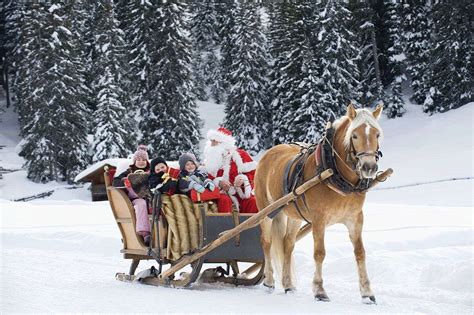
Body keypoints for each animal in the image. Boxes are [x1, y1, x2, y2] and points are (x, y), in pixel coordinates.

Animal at [256, 105, 386, 304]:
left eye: (377, 134)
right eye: (354, 135)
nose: (369, 167)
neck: (333, 171)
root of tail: (268, 153)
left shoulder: (355, 219)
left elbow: (360, 253)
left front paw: (367, 292)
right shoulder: (319, 220)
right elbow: (320, 253)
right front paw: (319, 290)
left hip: (294, 215)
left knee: (288, 244)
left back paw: (288, 284)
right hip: (266, 211)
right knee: (266, 242)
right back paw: (269, 281)